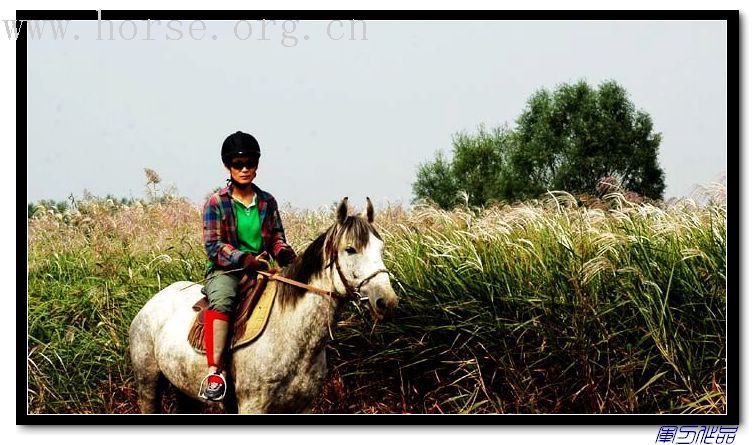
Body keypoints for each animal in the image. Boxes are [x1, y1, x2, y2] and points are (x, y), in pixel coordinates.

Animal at [128, 198, 402, 412]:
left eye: (381, 248)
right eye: (350, 249)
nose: (386, 301)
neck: (292, 334)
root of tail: (152, 303)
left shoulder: (303, 406)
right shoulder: (253, 405)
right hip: (148, 383)